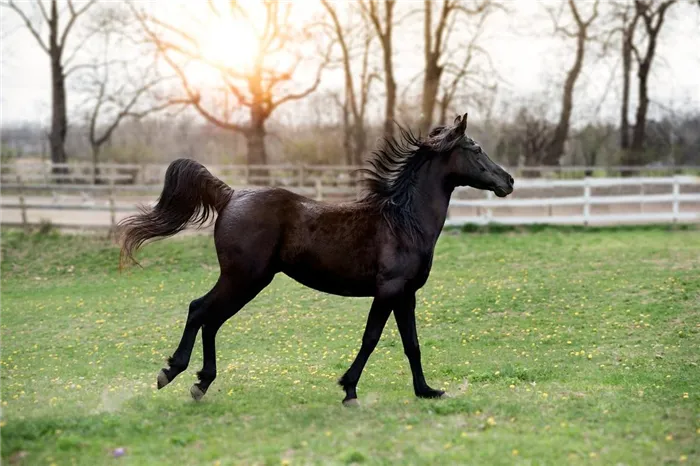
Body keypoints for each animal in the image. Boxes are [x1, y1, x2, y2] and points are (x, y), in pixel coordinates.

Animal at [119, 113, 516, 404]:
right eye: (476, 148)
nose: (508, 181)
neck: (404, 222)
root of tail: (230, 196)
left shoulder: (407, 294)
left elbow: (412, 344)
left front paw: (427, 391)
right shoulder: (388, 291)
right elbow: (371, 338)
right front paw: (349, 389)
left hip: (245, 281)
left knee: (211, 319)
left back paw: (201, 383)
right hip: (244, 278)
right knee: (199, 310)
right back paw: (172, 373)